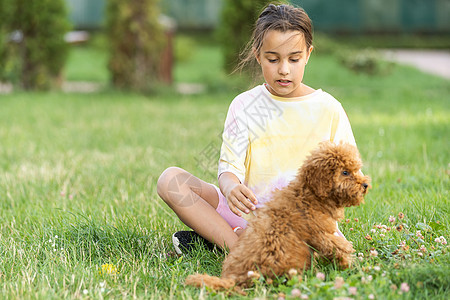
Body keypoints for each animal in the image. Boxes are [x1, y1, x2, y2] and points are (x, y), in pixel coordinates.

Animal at [185, 142, 370, 290]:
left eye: (355, 169)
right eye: (345, 172)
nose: (366, 185)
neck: (310, 194)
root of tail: (234, 279)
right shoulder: (318, 233)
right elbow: (339, 246)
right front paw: (348, 264)